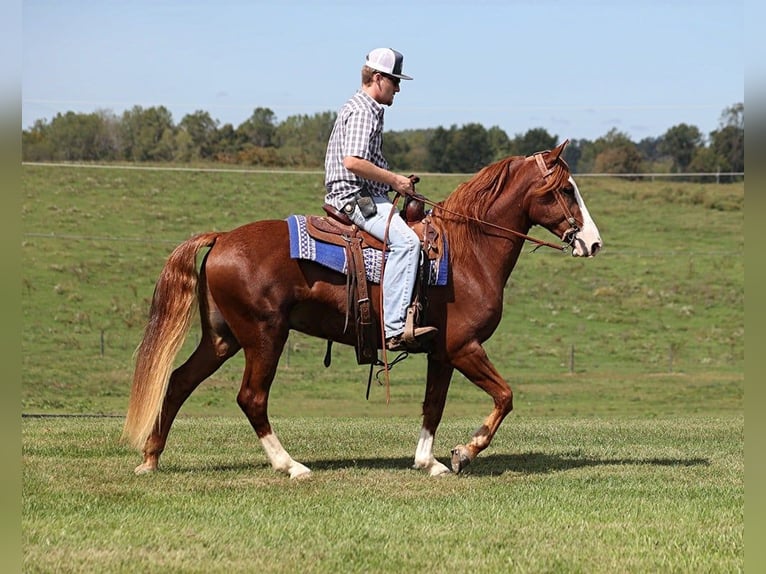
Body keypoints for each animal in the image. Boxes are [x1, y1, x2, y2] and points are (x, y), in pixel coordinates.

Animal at [123, 141, 604, 482]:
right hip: (264, 335)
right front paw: (464, 452)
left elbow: (433, 405)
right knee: (251, 397)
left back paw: (151, 458)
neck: (467, 253)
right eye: (566, 189)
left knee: (179, 381)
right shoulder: (464, 347)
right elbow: (504, 396)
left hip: (222, 338)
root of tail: (222, 237)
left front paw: (428, 461)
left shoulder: (442, 353)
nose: (593, 242)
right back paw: (290, 465)